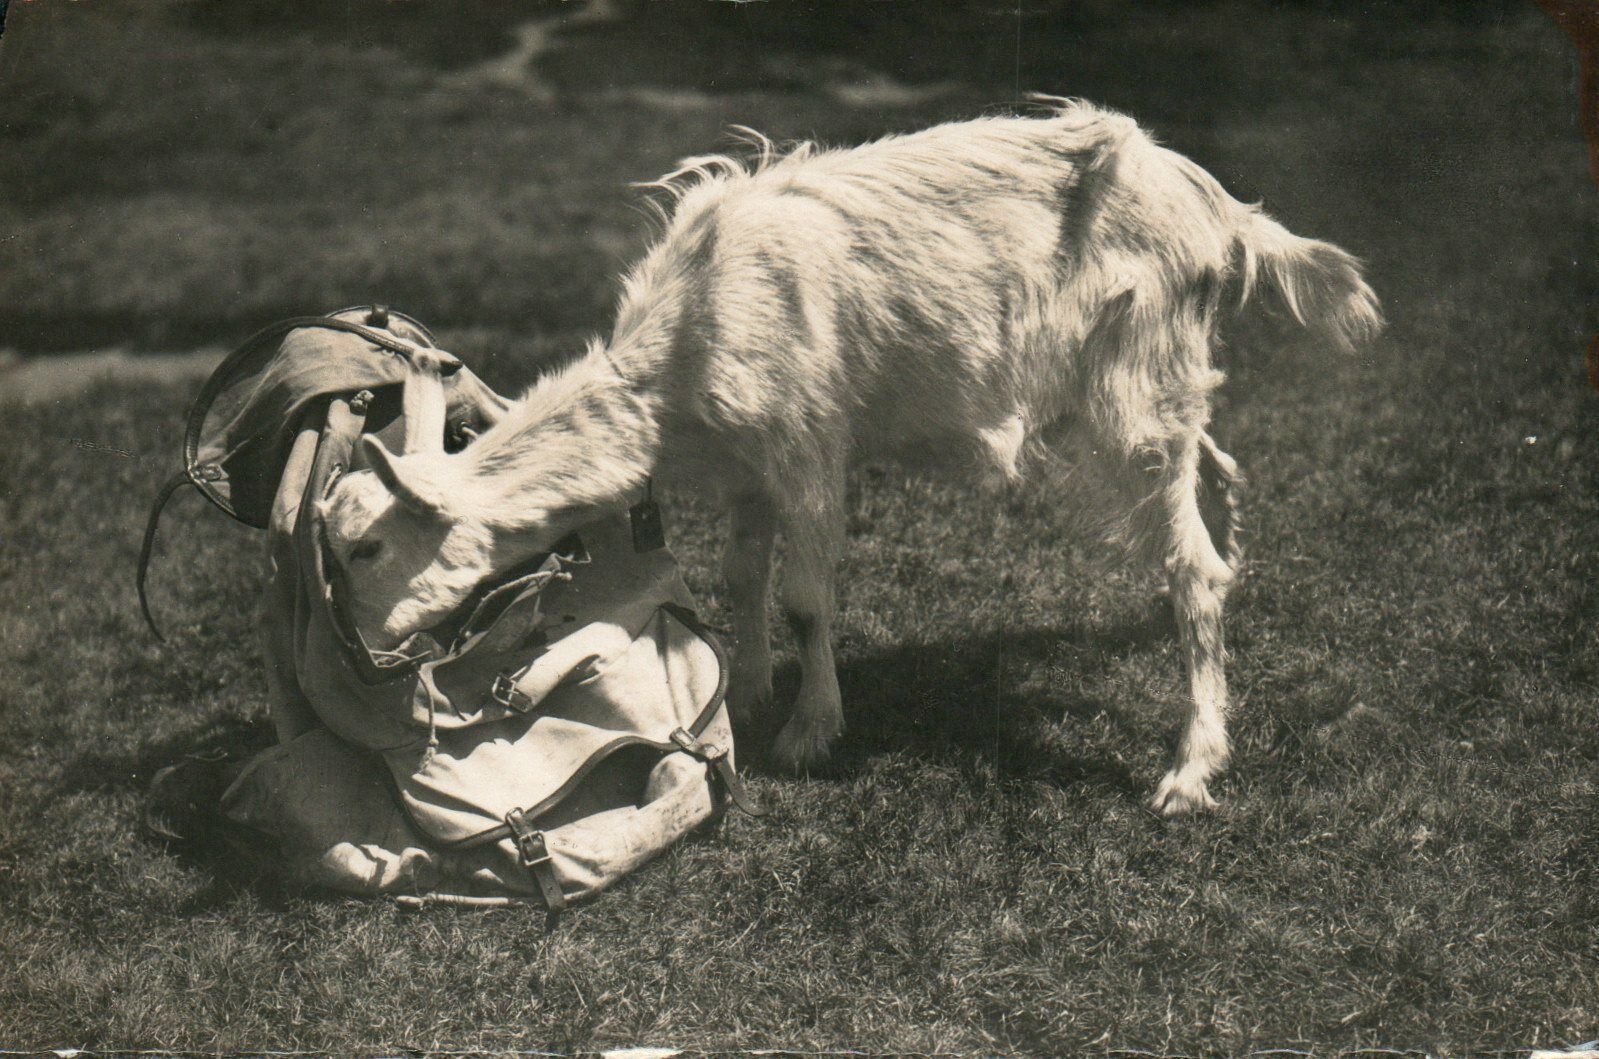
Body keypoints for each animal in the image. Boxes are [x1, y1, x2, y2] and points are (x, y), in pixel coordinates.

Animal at [318, 101, 1381, 812]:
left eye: (367, 547)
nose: (358, 657)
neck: (675, 360)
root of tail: (1221, 214)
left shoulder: (804, 443)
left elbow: (802, 595)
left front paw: (807, 731)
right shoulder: (745, 465)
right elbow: (741, 574)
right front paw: (745, 693)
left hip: (1135, 380)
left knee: (1190, 565)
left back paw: (1188, 769)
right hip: (1164, 385)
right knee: (1216, 474)